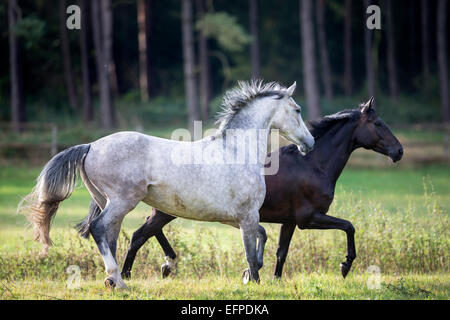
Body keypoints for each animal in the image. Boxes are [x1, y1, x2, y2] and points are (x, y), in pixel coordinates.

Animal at [79, 98, 402, 280]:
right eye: (378, 123)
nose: (398, 151)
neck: (312, 164)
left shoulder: (289, 221)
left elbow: (281, 252)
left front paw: (272, 279)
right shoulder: (308, 219)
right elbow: (349, 226)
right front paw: (345, 266)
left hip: (164, 208)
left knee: (142, 232)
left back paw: (159, 266)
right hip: (157, 208)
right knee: (137, 234)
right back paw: (132, 273)